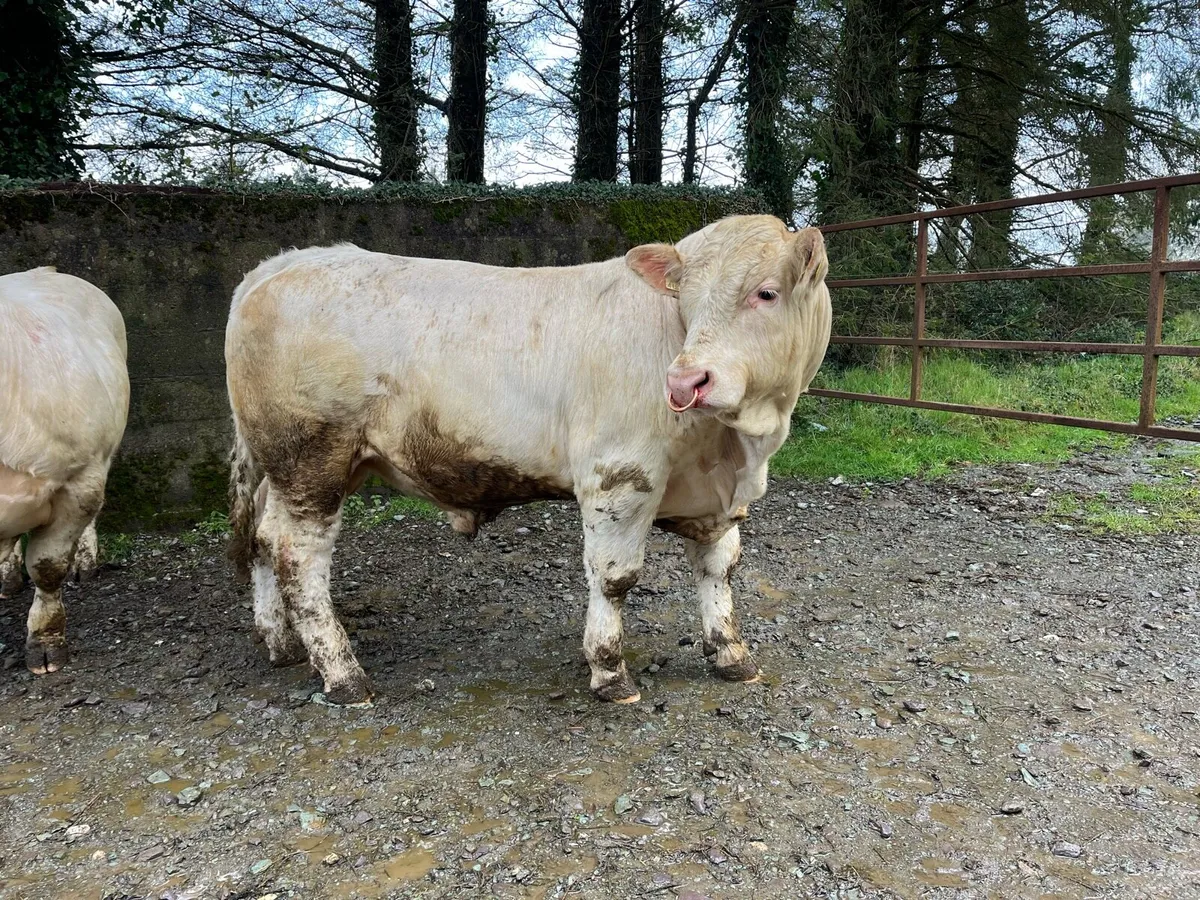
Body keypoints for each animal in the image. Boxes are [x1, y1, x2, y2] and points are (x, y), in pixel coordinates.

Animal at [225, 215, 832, 705]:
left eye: (767, 293)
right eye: (686, 299)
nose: (686, 381)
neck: (737, 448)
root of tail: (286, 262)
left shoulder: (716, 494)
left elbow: (718, 569)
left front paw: (731, 653)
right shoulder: (619, 475)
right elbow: (615, 577)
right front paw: (609, 672)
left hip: (290, 468)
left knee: (262, 537)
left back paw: (281, 642)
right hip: (312, 460)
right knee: (299, 557)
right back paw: (343, 674)